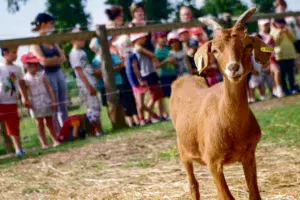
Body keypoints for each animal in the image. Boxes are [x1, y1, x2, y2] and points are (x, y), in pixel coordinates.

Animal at [169, 7, 272, 200]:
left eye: (247, 45)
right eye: (215, 50)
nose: (233, 68)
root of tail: (183, 78)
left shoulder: (249, 155)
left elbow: (254, 194)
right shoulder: (213, 162)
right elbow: (226, 196)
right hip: (183, 151)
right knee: (193, 185)